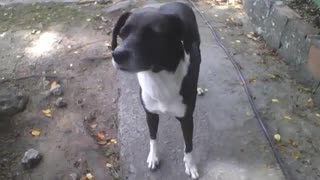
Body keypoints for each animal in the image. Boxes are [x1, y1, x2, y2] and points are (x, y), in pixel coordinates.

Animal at [112, 2, 200, 179]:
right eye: (122, 33)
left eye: (154, 34)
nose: (117, 55)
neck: (158, 77)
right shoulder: (150, 114)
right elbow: (153, 137)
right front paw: (153, 157)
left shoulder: (187, 120)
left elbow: (189, 145)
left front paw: (190, 164)